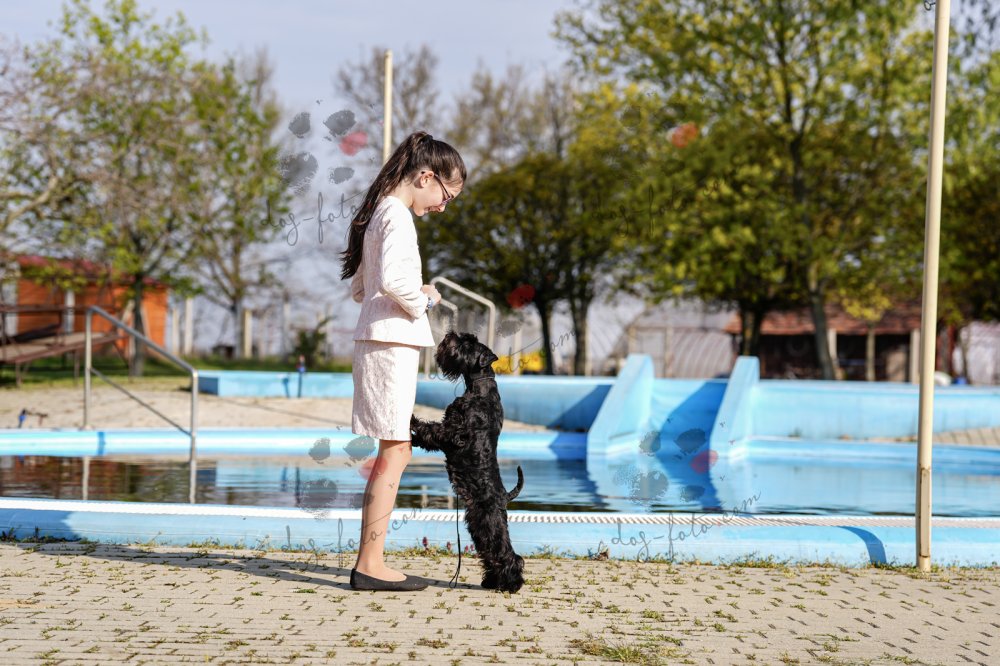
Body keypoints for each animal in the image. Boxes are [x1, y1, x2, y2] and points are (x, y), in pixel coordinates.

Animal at [409, 330, 525, 593]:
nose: (450, 335)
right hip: (477, 526)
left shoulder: (452, 433)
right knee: (490, 555)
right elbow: (430, 436)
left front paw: (412, 421)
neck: (479, 387)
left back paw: (511, 584)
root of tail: (504, 497)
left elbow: (431, 430)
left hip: (488, 524)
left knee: (508, 555)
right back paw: (491, 581)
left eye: (468, 343)